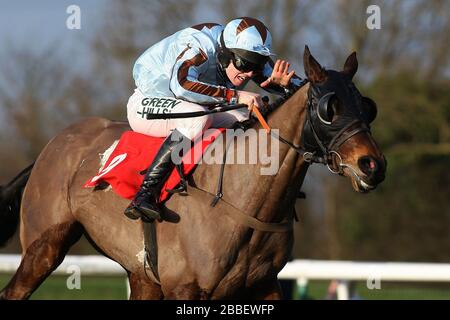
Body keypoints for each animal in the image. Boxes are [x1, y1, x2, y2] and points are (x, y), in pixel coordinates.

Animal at [0, 47, 386, 300]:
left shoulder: (265, 286)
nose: (373, 165)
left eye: (367, 106)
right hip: (43, 247)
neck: (242, 201)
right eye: (329, 108)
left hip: (142, 276)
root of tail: (51, 147)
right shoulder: (185, 288)